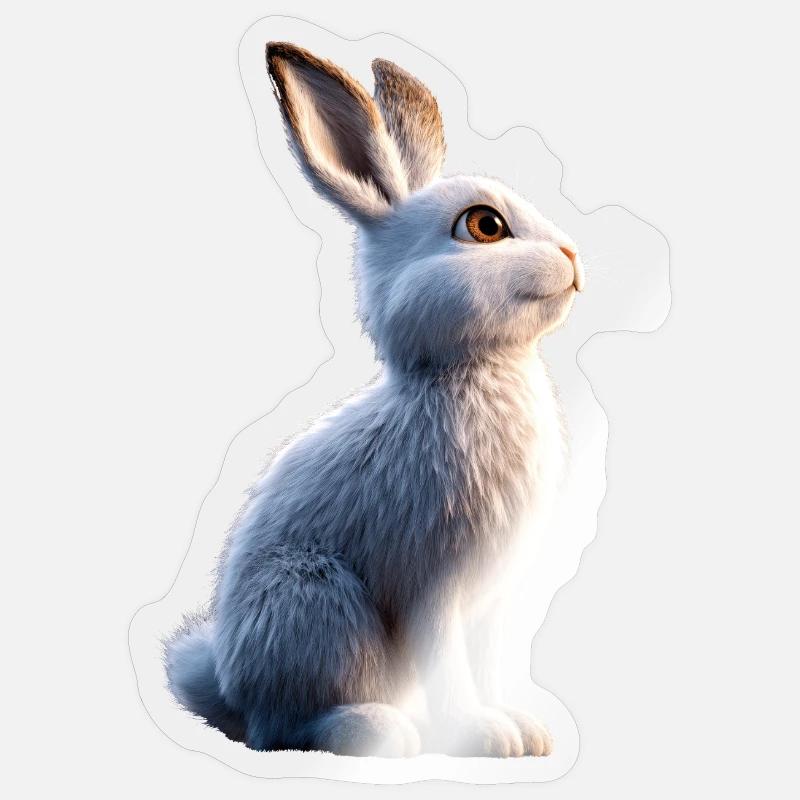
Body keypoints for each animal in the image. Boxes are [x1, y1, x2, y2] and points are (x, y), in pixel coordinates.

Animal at [166, 41, 584, 759]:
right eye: (484, 225)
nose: (573, 256)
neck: (464, 371)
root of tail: (226, 686)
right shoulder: (432, 586)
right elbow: (447, 665)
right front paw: (481, 736)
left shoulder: (493, 599)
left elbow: (488, 663)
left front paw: (523, 732)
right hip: (315, 602)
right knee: (283, 730)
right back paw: (376, 731)